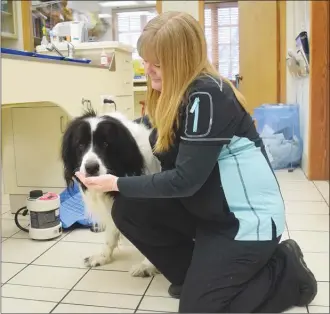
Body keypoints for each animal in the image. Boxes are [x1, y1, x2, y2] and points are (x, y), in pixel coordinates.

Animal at [61, 110, 161, 278]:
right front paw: (103, 257)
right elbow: (111, 233)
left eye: (105, 144)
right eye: (80, 144)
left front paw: (147, 265)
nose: (91, 168)